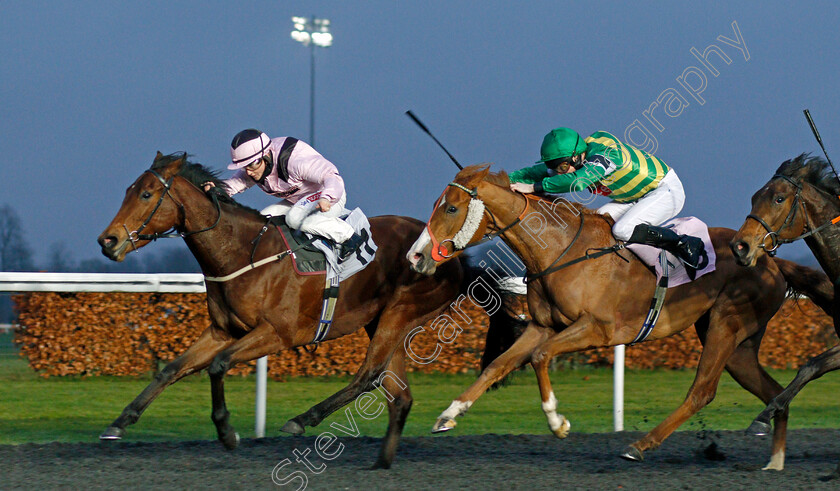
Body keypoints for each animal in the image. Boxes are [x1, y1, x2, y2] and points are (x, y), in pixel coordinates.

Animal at [95, 153, 520, 468]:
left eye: (147, 194)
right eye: (130, 190)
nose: (107, 241)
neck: (243, 252)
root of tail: (453, 257)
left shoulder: (276, 334)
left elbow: (218, 365)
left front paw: (227, 433)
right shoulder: (222, 331)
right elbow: (171, 369)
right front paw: (118, 424)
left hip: (401, 311)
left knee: (368, 376)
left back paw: (303, 420)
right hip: (385, 321)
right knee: (398, 395)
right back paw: (381, 462)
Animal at [406, 164, 832, 468]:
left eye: (451, 207)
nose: (416, 255)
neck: (559, 249)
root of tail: (770, 259)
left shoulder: (598, 329)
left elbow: (540, 357)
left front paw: (557, 422)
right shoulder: (544, 326)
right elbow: (498, 364)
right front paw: (449, 414)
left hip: (727, 325)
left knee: (702, 391)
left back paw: (640, 445)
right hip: (739, 345)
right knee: (773, 393)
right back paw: (774, 460)